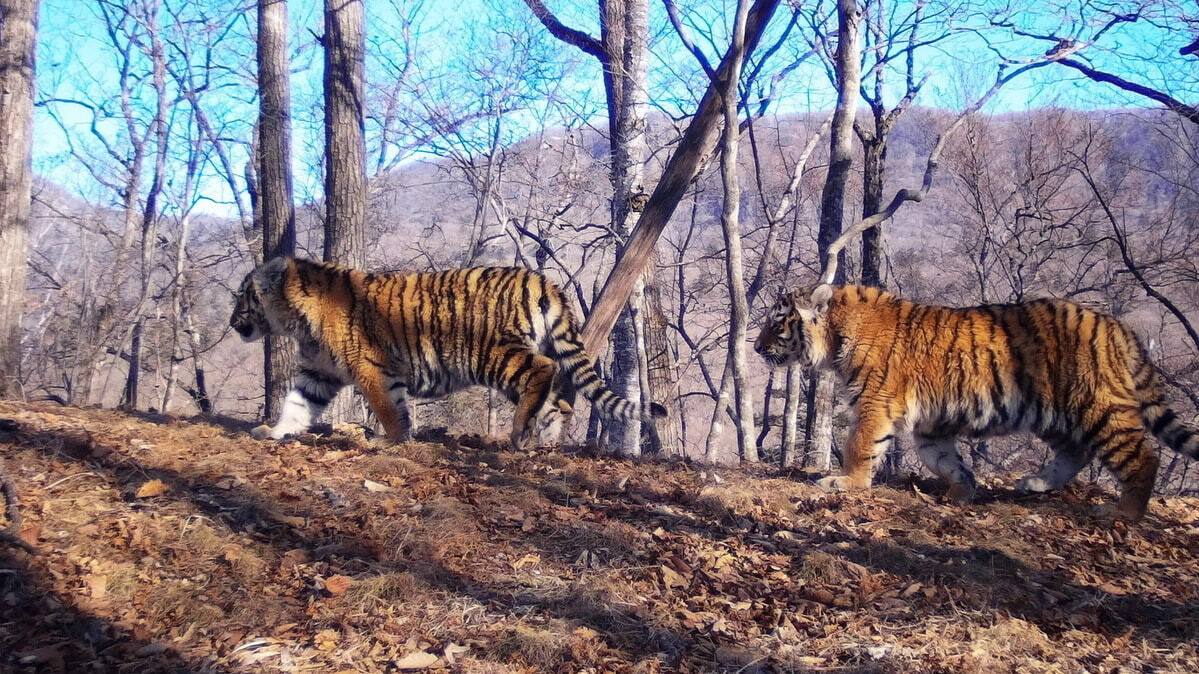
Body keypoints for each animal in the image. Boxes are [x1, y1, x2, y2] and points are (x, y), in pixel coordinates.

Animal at [229, 255, 671, 446]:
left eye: (243, 297)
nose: (232, 323)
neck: (297, 320)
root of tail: (542, 280)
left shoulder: (370, 367)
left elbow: (389, 410)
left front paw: (390, 442)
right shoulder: (318, 371)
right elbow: (296, 404)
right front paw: (275, 432)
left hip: (492, 354)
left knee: (544, 371)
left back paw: (519, 432)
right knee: (558, 400)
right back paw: (539, 440)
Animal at [752, 281, 1199, 520]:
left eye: (776, 322)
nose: (755, 348)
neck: (836, 335)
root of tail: (1119, 327)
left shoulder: (876, 403)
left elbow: (859, 445)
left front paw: (846, 482)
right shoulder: (931, 425)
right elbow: (944, 460)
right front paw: (963, 492)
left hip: (1097, 408)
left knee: (1143, 457)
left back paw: (1125, 513)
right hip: (1053, 414)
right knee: (1076, 452)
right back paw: (1035, 484)